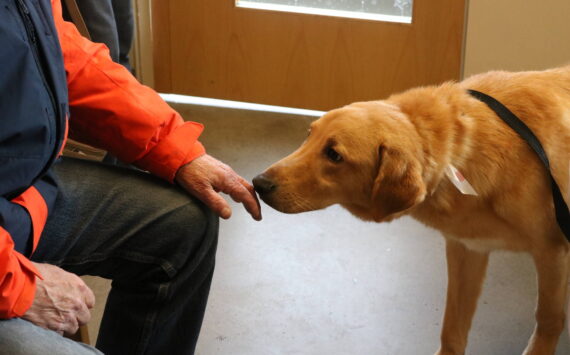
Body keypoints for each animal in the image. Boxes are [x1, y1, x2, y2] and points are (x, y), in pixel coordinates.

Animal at [252, 66, 568, 355]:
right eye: (309, 136)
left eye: (334, 155)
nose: (258, 183)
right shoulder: (468, 250)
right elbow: (453, 326)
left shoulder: (551, 252)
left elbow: (549, 317)